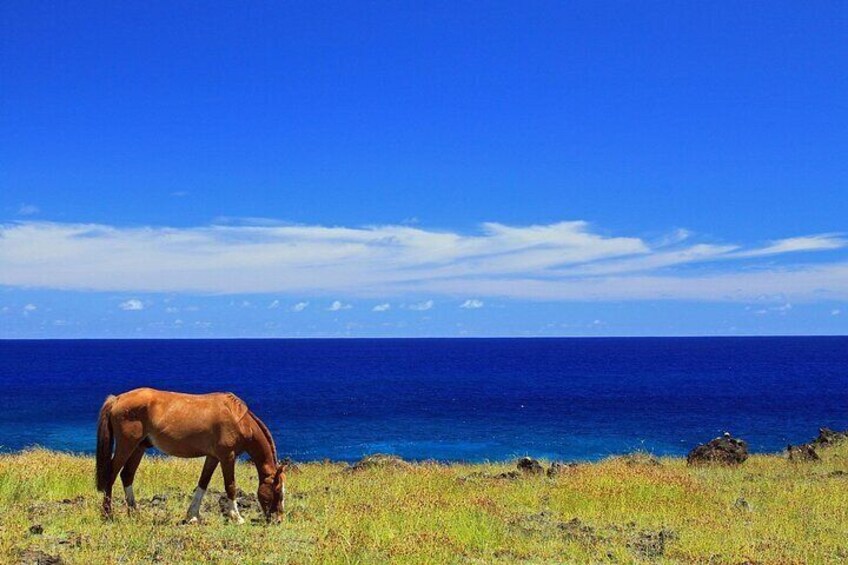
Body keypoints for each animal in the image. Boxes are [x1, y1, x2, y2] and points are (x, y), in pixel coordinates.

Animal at [95, 386, 286, 524]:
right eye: (277, 489)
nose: (278, 519)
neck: (238, 420)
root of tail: (117, 399)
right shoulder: (227, 456)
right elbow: (230, 485)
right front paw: (237, 517)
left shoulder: (213, 457)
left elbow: (203, 483)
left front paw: (193, 515)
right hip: (127, 445)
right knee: (111, 475)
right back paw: (108, 514)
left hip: (139, 448)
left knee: (127, 475)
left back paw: (134, 513)